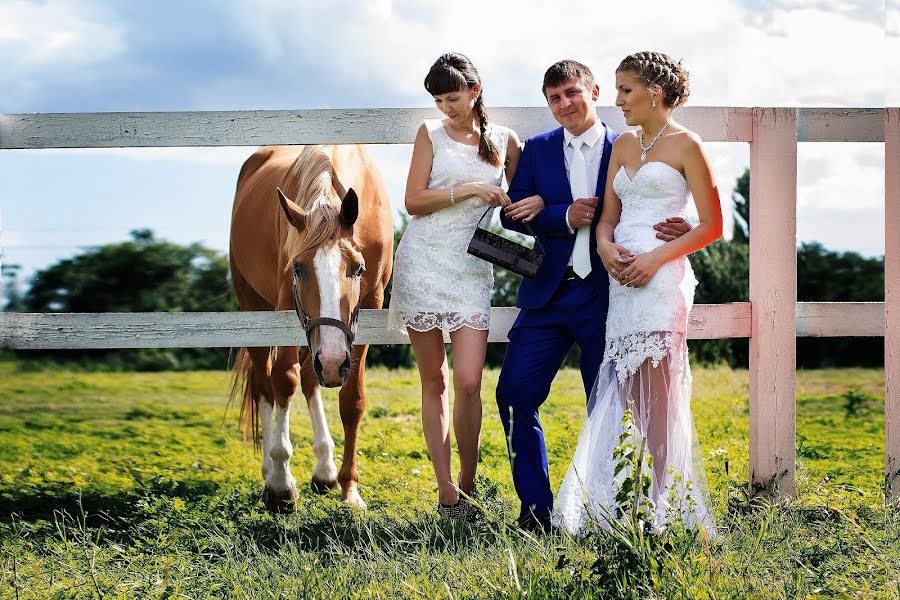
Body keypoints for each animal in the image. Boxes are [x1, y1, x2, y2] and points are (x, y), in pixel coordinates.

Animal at [227, 144, 392, 510]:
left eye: (359, 268)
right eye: (298, 269)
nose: (331, 362)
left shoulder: (369, 307)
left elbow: (352, 398)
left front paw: (349, 489)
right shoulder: (283, 303)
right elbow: (283, 381)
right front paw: (280, 483)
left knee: (309, 377)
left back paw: (325, 470)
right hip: (252, 306)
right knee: (265, 383)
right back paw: (270, 471)